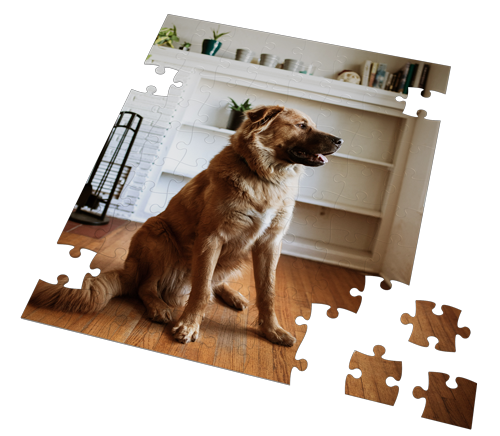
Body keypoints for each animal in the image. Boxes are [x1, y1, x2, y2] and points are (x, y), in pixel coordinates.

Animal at [32, 105, 344, 348]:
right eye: (301, 125)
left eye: (312, 125)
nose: (340, 140)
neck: (264, 176)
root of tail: (128, 270)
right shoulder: (212, 238)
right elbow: (201, 290)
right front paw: (189, 326)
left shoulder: (269, 244)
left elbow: (267, 292)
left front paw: (272, 331)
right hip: (158, 233)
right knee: (146, 287)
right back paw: (159, 307)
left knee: (213, 281)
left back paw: (232, 294)